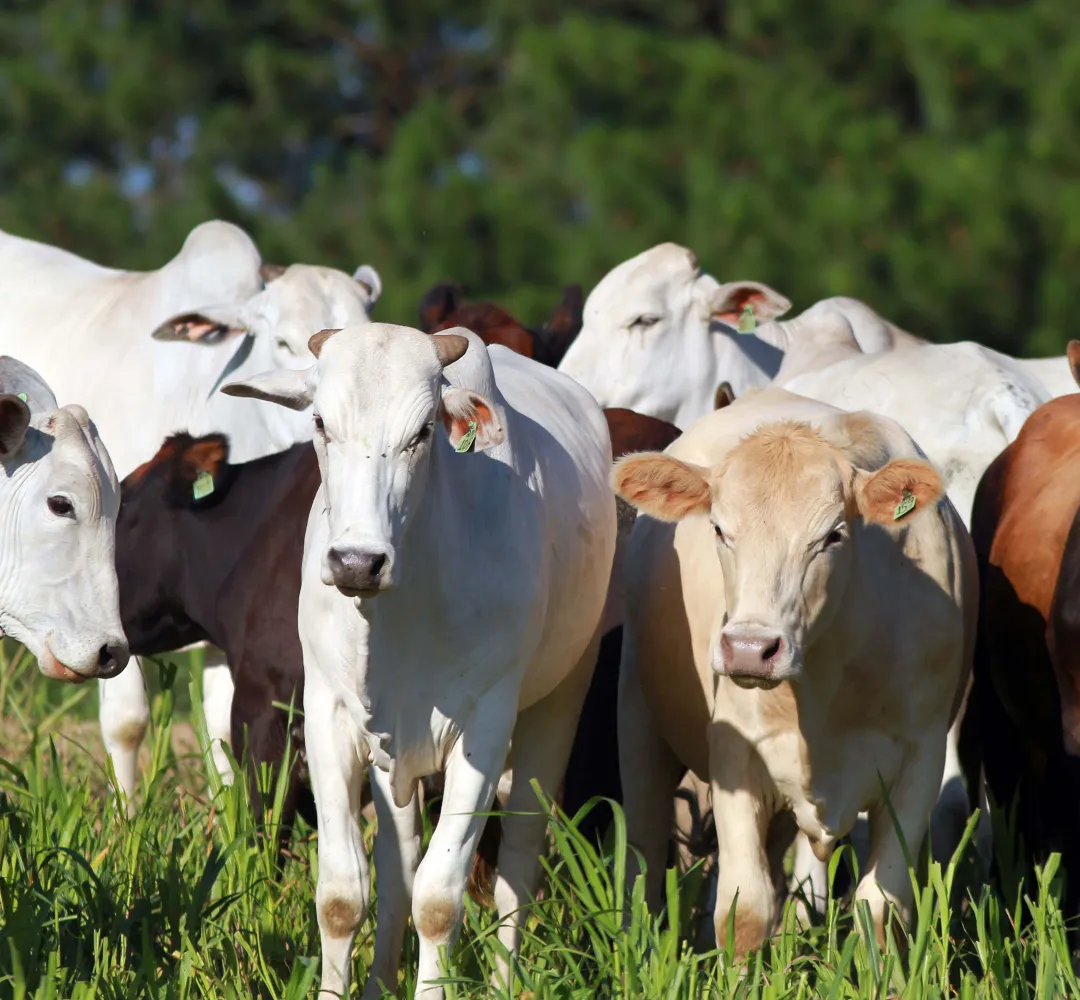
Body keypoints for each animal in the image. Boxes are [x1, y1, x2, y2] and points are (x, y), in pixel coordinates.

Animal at [221, 323, 616, 999]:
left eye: (424, 431)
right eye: (321, 422)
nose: (357, 561)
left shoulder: (484, 727)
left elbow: (439, 899)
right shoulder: (330, 716)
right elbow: (343, 895)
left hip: (559, 701)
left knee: (516, 865)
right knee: (398, 859)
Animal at [613, 387, 974, 955]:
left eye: (832, 536)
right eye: (719, 529)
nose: (749, 648)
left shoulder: (923, 758)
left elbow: (881, 910)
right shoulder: (735, 753)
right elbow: (744, 909)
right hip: (638, 714)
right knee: (645, 850)